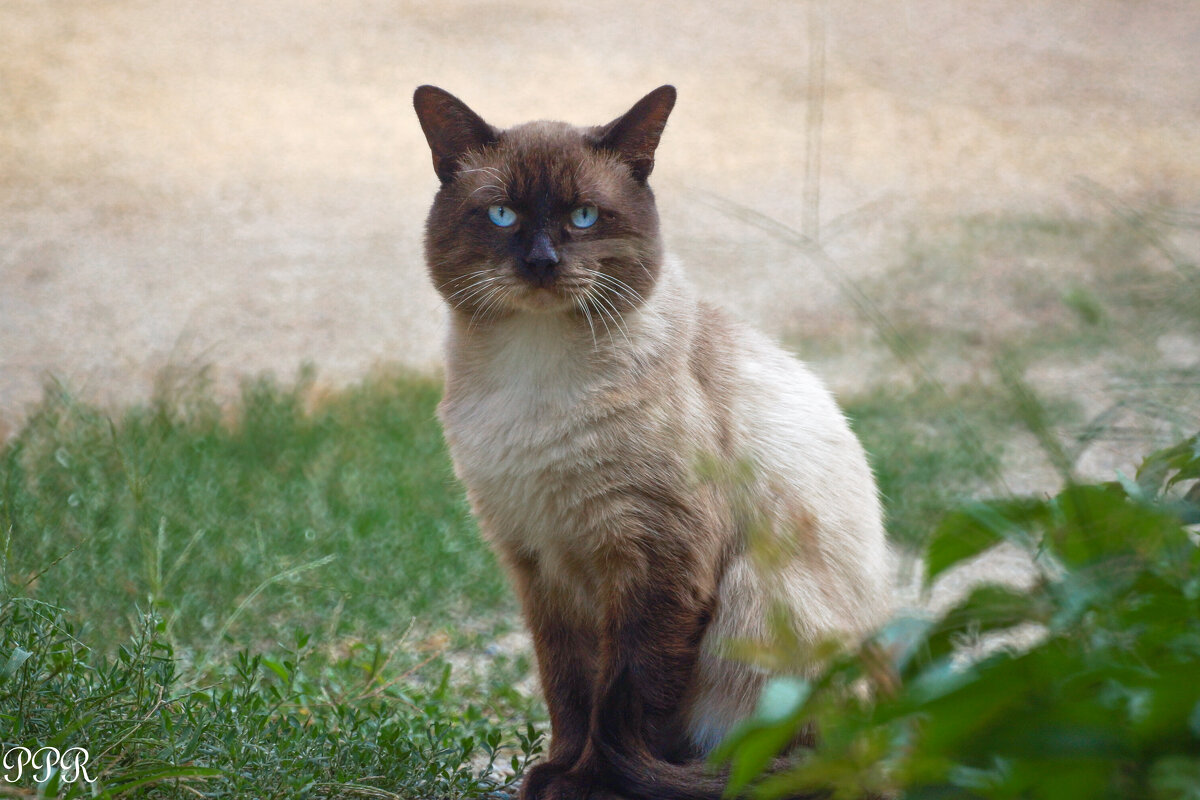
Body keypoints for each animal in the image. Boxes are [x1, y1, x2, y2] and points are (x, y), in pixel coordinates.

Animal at [412, 84, 892, 796]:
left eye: (584, 217)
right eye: (502, 215)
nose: (541, 262)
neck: (533, 376)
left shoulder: (655, 556)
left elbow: (626, 697)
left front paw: (588, 783)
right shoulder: (539, 562)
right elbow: (569, 688)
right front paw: (556, 771)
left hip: (757, 594)